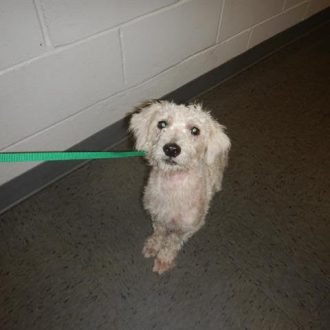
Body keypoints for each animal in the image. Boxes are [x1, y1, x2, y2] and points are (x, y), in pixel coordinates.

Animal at [129, 100, 229, 274]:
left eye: (195, 130)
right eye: (162, 124)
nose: (171, 149)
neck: (173, 186)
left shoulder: (187, 228)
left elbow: (172, 242)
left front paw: (164, 259)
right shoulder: (157, 216)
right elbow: (159, 232)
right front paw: (153, 245)